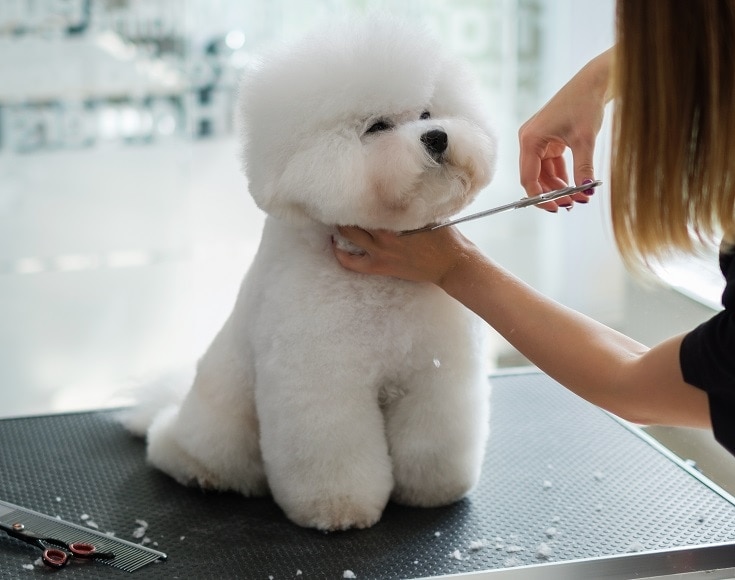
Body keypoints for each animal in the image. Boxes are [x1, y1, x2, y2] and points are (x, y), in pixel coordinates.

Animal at [126, 14, 498, 532]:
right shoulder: (322, 384)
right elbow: (332, 453)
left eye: (428, 113)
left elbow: (435, 439)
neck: (381, 287)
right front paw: (338, 509)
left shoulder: (437, 375)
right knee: (175, 448)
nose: (438, 137)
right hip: (219, 427)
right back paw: (197, 469)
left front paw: (434, 491)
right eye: (378, 127)